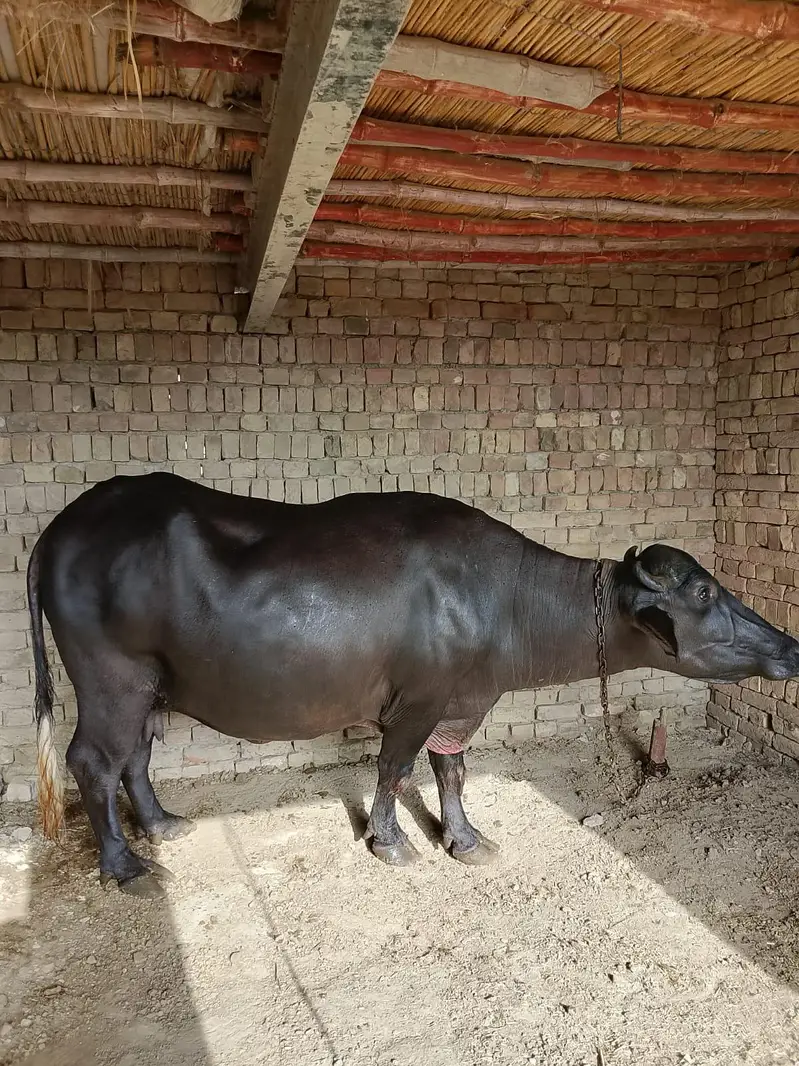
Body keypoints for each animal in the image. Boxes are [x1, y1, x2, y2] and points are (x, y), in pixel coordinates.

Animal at [26, 473, 799, 897]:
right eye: (703, 590)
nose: (789, 647)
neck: (498, 598)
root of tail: (63, 527)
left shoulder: (463, 704)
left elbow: (450, 772)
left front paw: (465, 839)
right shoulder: (417, 702)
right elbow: (394, 769)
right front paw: (391, 842)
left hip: (148, 684)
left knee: (135, 755)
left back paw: (163, 825)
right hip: (110, 677)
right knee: (93, 759)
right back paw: (124, 863)